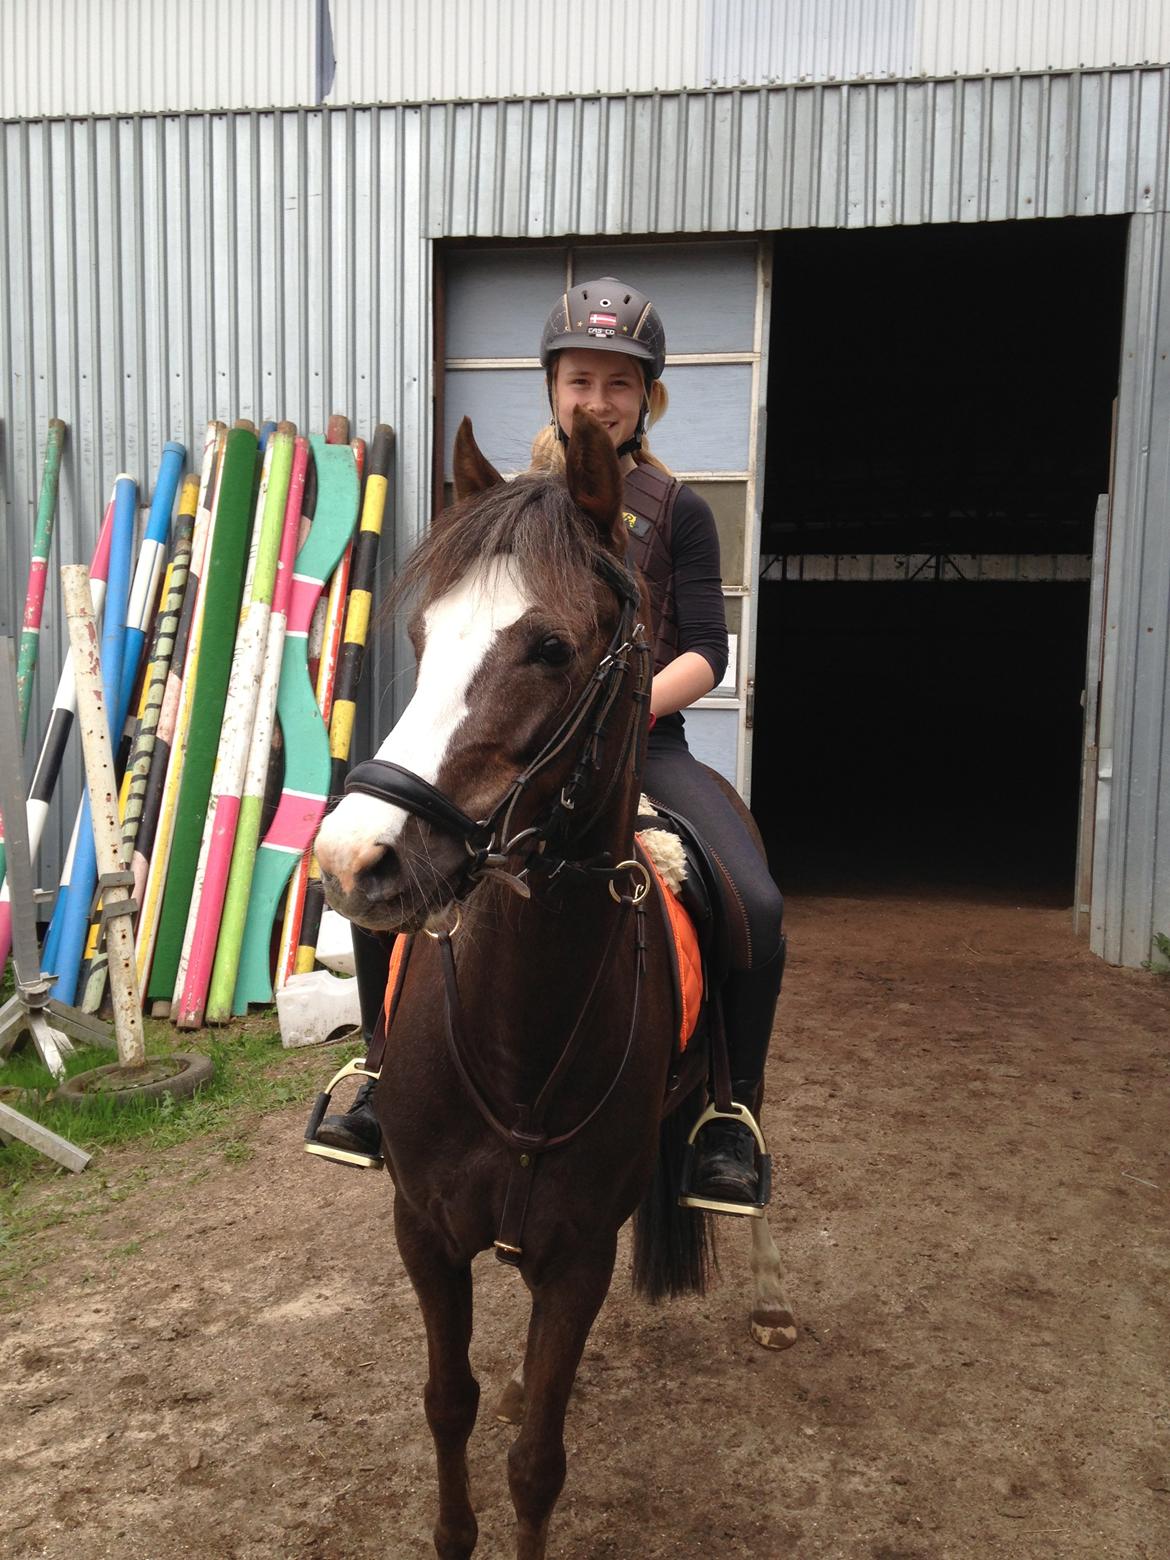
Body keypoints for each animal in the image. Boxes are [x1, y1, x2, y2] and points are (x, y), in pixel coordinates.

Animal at [313, 408, 796, 1560]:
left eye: (550, 648)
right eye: (422, 637)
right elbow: (449, 1403)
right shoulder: (423, 1231)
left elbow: (538, 1458)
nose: (352, 860)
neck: (515, 1037)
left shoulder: (577, 1257)